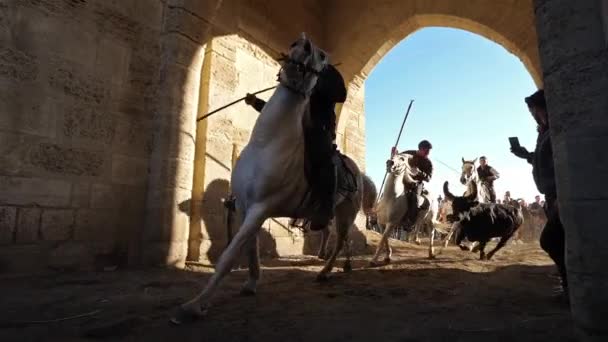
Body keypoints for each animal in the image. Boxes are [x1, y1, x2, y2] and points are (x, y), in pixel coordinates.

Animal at [171, 33, 378, 324]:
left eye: (322, 56)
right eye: (293, 45)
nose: (303, 46)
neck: (267, 143)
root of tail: (357, 172)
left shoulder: (261, 208)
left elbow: (229, 256)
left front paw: (195, 304)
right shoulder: (245, 207)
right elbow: (250, 248)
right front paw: (251, 283)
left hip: (346, 212)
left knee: (340, 241)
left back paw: (326, 271)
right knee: (337, 237)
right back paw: (338, 265)